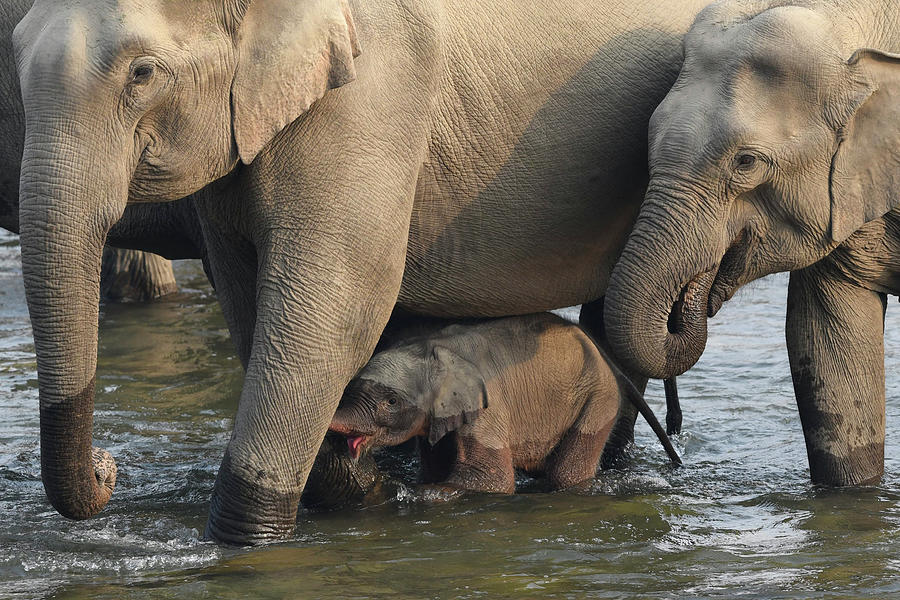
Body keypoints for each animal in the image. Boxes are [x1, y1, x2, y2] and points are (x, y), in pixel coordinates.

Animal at [332, 314, 684, 492]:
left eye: (391, 401)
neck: (432, 347)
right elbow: (435, 468)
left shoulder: (488, 409)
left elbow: (491, 480)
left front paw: (400, 491)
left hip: (598, 399)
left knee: (565, 474)